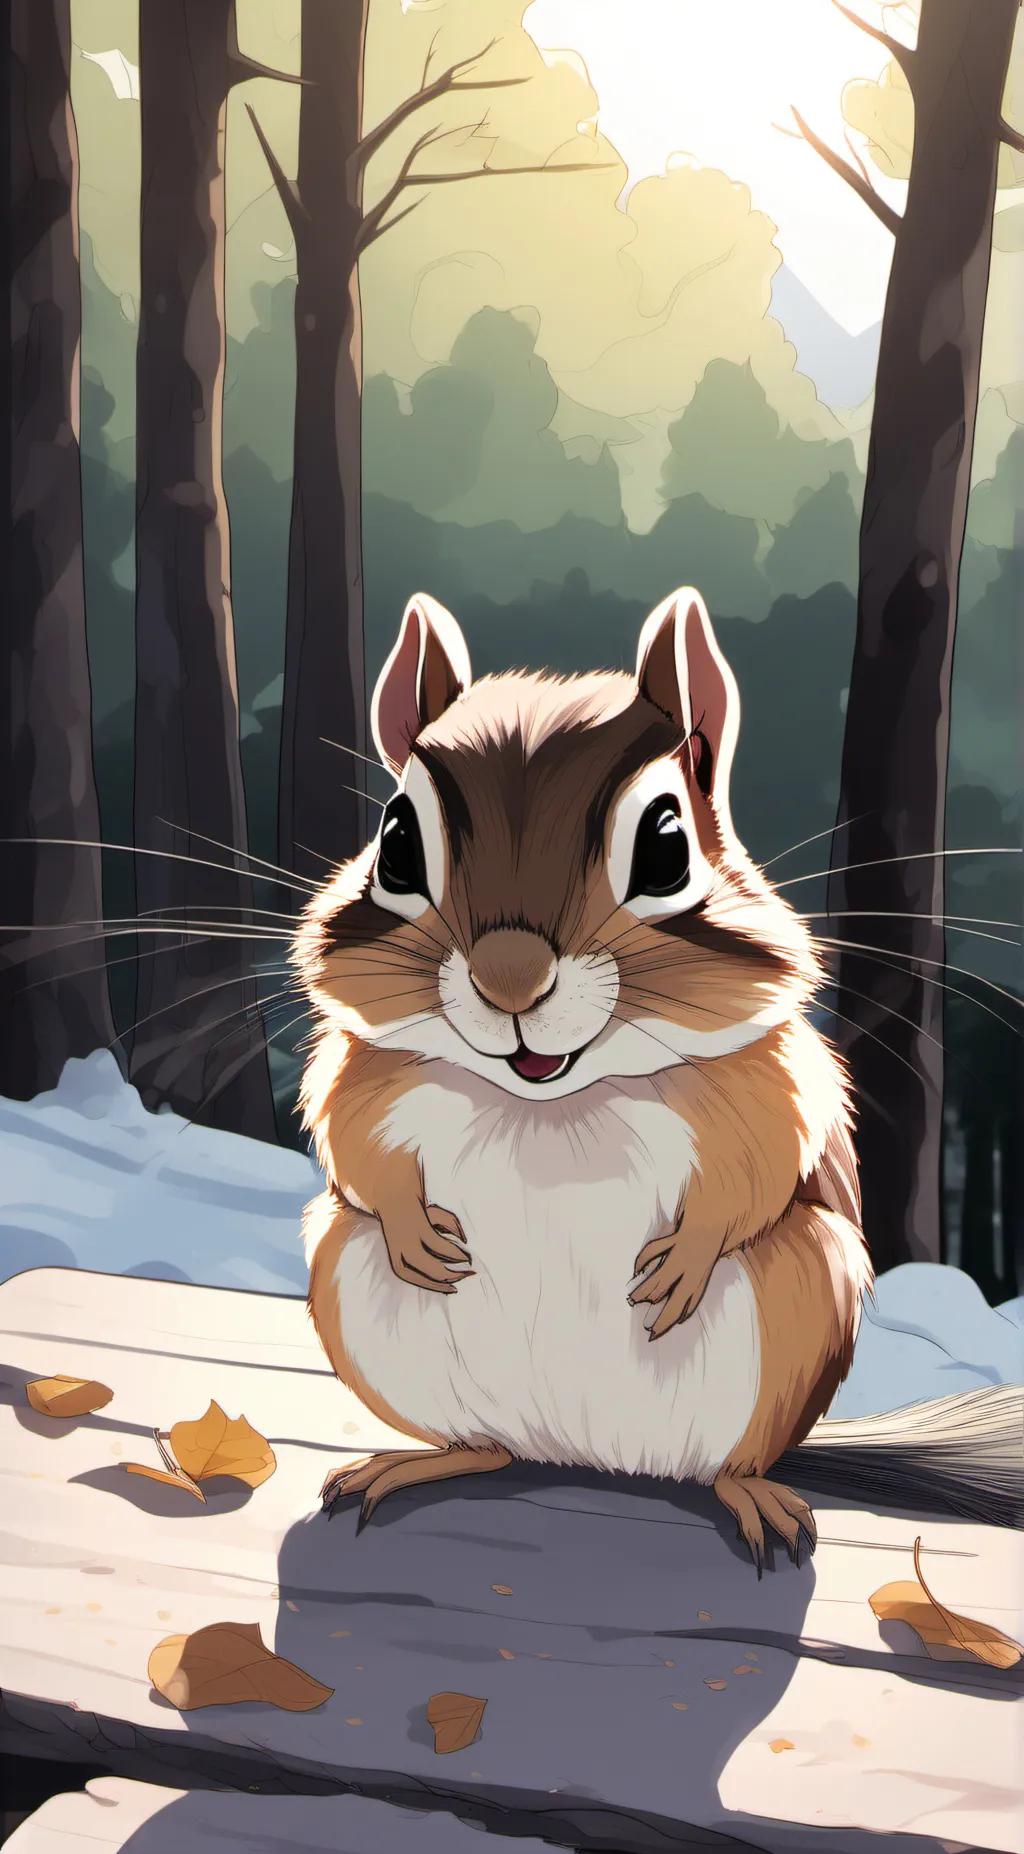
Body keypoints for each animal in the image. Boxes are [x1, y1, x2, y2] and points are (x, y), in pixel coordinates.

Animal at [297, 588, 1020, 1568]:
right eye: (397, 843)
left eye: (667, 845)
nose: (509, 978)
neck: (553, 1103)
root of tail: (581, 1455)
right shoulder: (366, 1072)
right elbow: (352, 1145)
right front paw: (414, 1231)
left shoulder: (771, 1083)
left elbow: (758, 1170)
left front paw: (684, 1259)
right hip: (352, 1291)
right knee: (485, 1447)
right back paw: (412, 1464)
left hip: (799, 1302)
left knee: (728, 1464)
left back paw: (755, 1497)